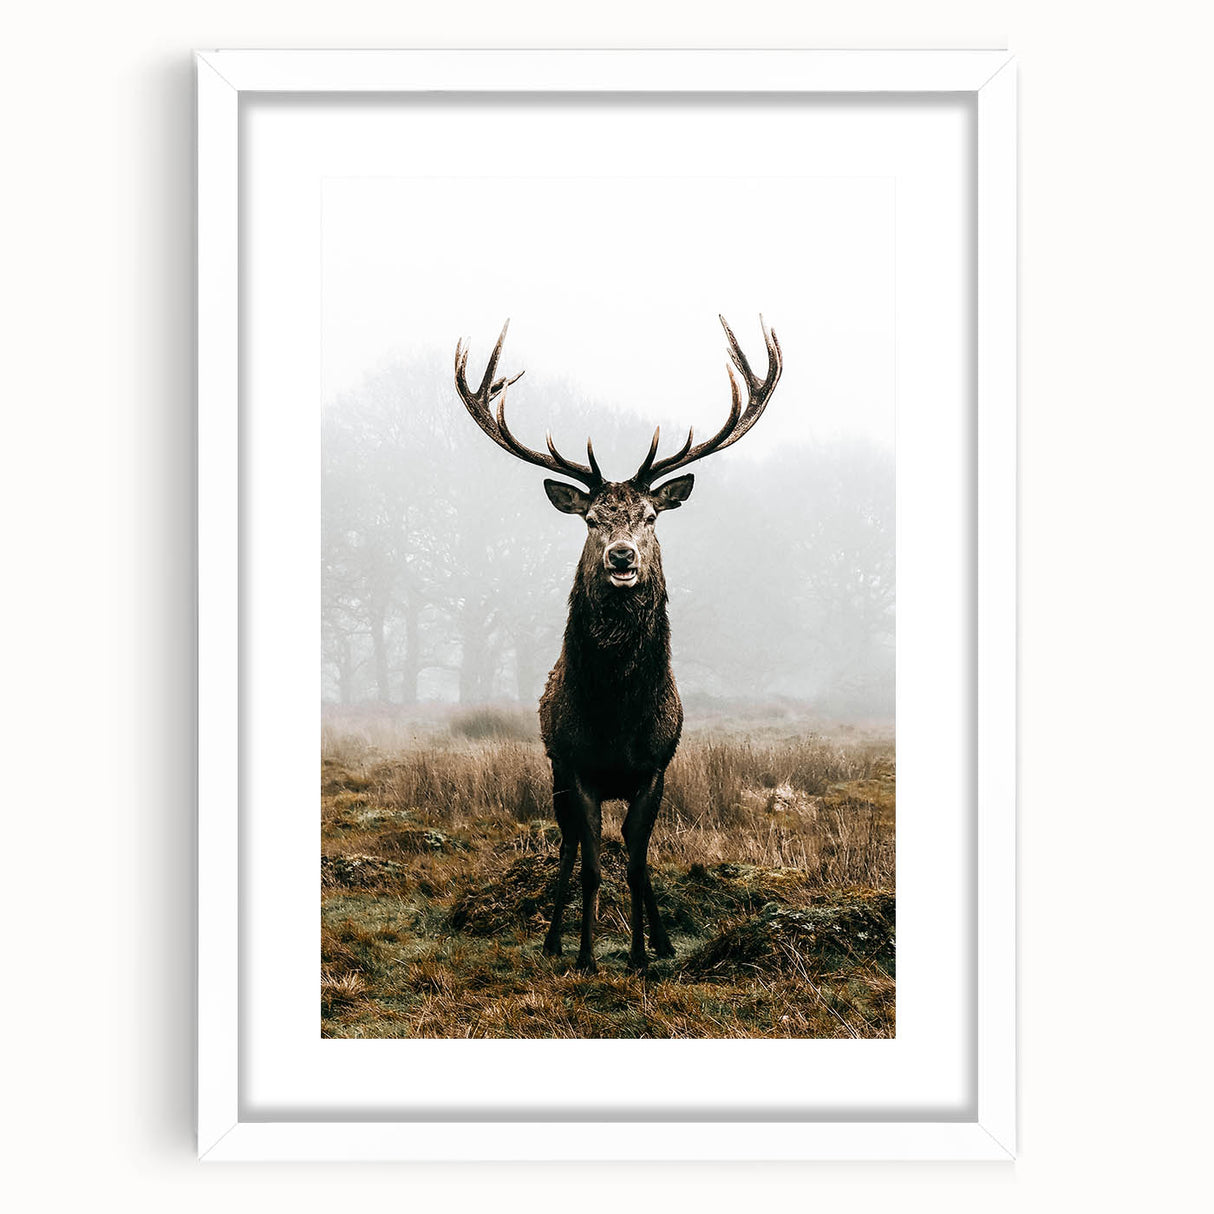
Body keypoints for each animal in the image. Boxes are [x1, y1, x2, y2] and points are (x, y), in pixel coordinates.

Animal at [454, 316, 782, 974]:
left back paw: (660, 940)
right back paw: (555, 939)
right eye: (591, 520)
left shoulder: (653, 768)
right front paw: (585, 955)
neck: (615, 716)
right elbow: (590, 865)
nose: (622, 557)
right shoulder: (577, 766)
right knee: (567, 848)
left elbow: (635, 861)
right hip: (554, 771)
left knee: (635, 855)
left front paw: (639, 955)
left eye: (651, 516)